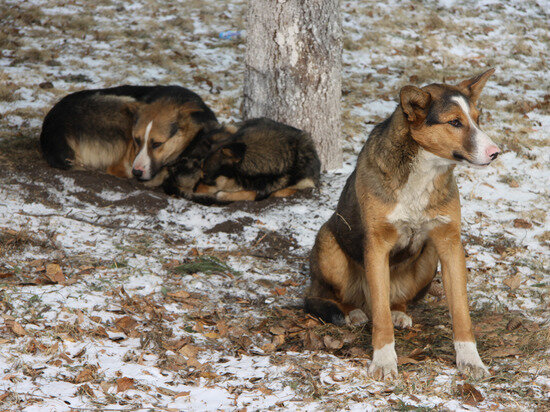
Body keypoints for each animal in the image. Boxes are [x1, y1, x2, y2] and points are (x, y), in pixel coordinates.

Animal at [308, 68, 502, 380]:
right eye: (455, 122)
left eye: (477, 118)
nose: (495, 152)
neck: (424, 169)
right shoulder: (377, 246)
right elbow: (380, 317)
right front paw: (384, 360)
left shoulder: (449, 243)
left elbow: (461, 311)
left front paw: (470, 359)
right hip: (328, 243)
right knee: (338, 297)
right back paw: (353, 312)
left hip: (428, 258)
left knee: (394, 301)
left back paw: (399, 311)